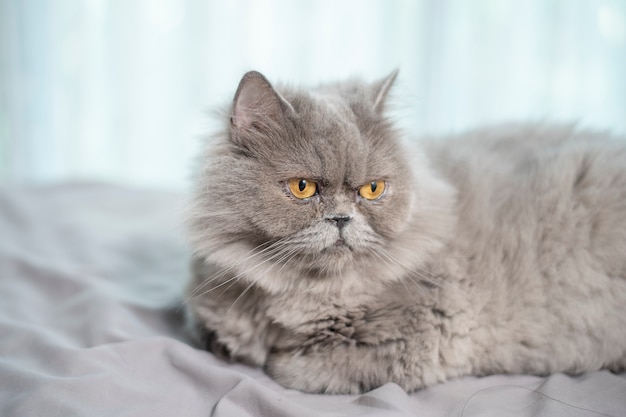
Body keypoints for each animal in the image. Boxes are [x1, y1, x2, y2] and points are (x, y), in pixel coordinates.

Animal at [185, 69, 624, 394]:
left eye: (372, 190)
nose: (341, 219)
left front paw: (270, 354)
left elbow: (291, 368)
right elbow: (210, 334)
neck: (305, 291)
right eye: (303, 187)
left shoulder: (424, 336)